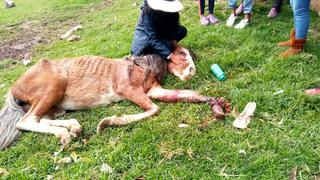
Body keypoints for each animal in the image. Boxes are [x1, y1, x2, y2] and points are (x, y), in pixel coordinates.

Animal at [0, 45, 230, 150]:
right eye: (181, 54)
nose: (191, 71)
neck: (143, 65)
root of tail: (13, 89)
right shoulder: (128, 89)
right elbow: (154, 109)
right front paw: (107, 123)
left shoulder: (152, 91)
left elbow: (184, 95)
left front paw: (216, 102)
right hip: (54, 86)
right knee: (26, 121)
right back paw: (65, 134)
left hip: (55, 105)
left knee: (41, 119)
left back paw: (73, 127)